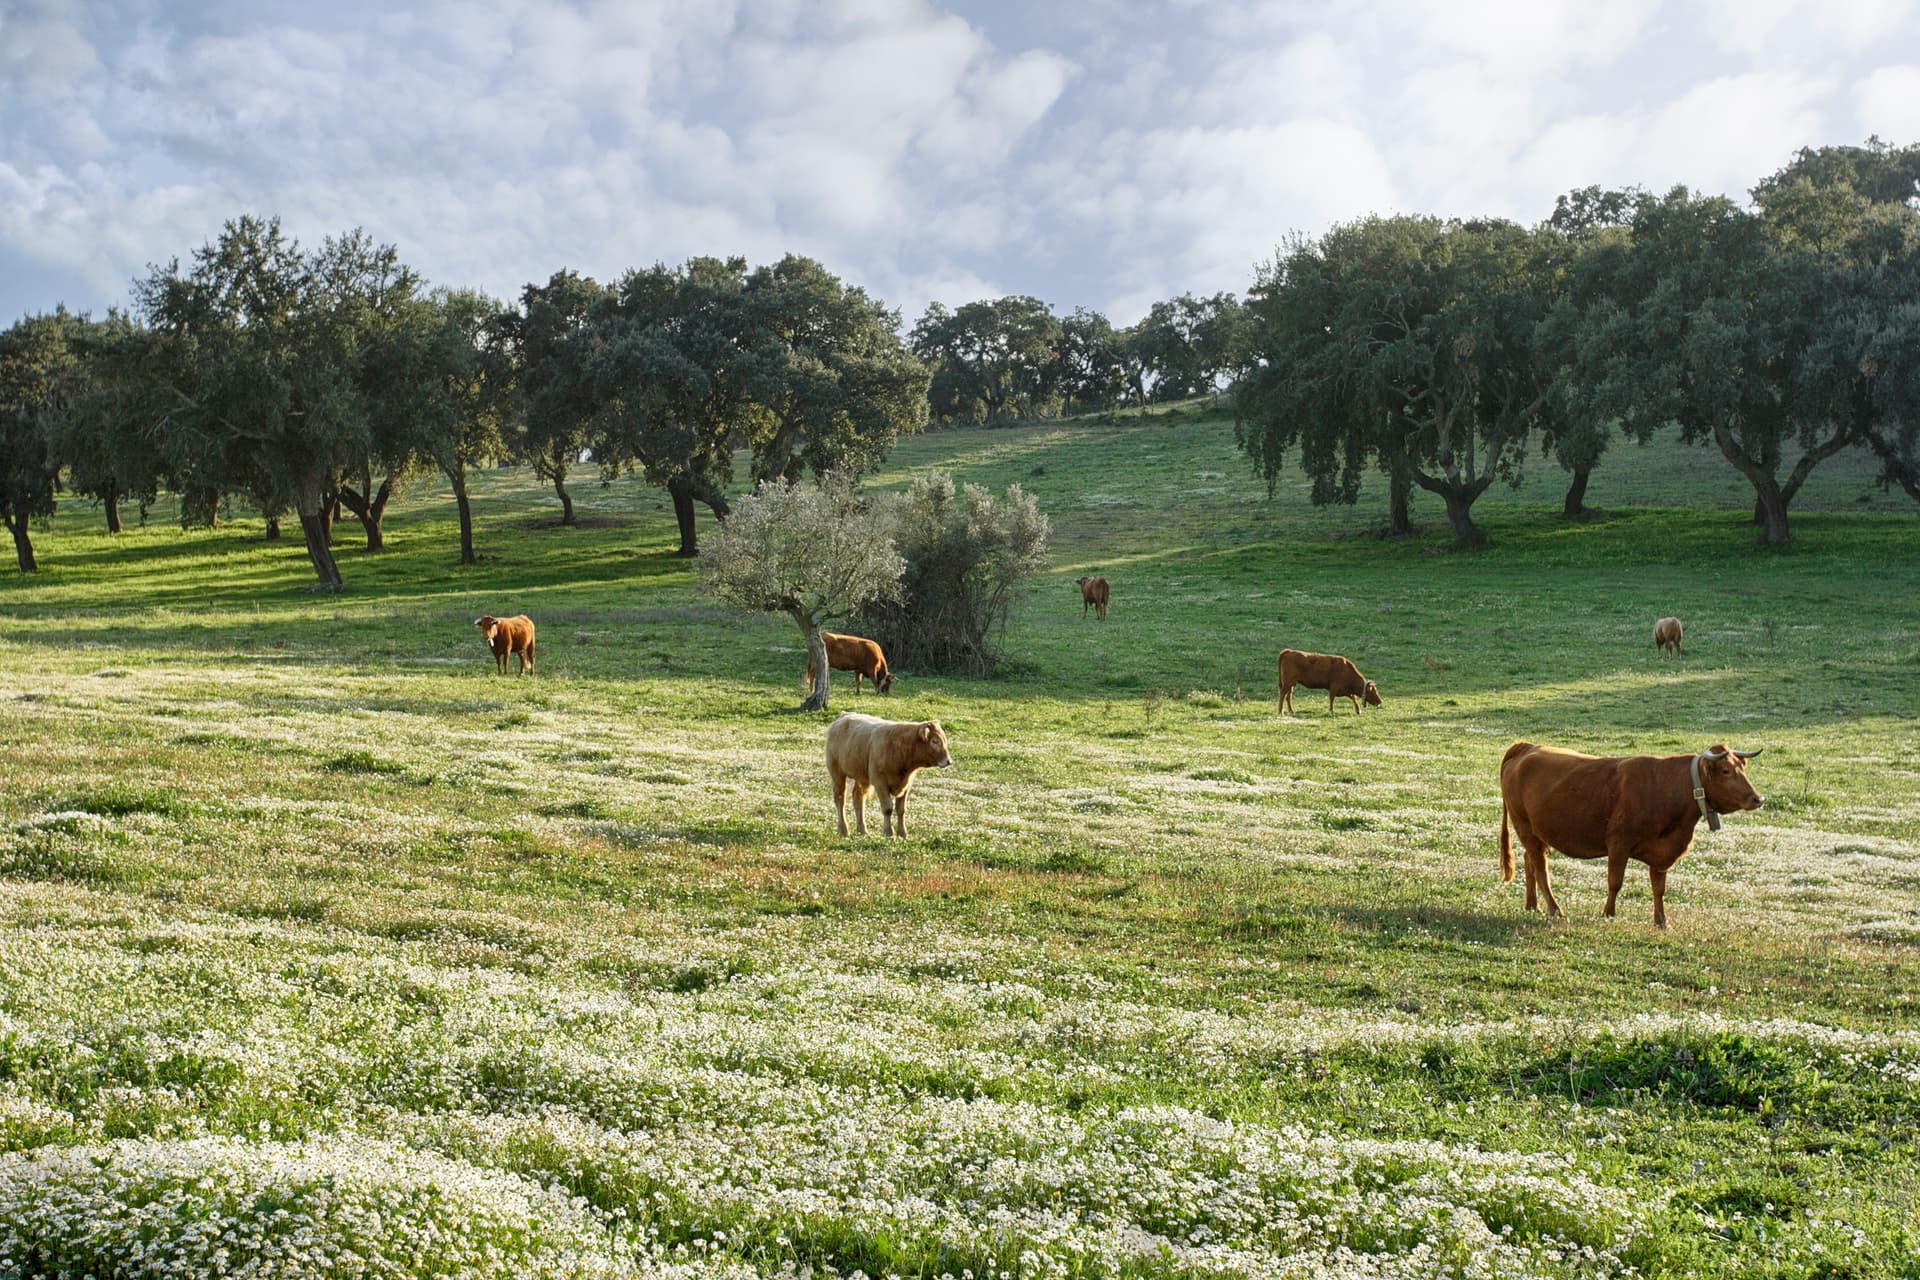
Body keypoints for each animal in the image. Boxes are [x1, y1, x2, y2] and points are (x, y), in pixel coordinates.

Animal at [825, 712, 953, 838]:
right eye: (935, 741)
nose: (949, 761)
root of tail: (844, 715)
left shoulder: (907, 785)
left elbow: (901, 809)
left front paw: (903, 833)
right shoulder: (880, 782)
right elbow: (887, 808)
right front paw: (889, 833)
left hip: (860, 776)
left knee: (858, 798)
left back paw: (863, 831)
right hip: (836, 773)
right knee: (840, 799)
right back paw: (843, 830)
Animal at [1499, 741, 1764, 928]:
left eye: (1742, 768)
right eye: (1726, 770)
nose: (1758, 798)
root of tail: (1526, 747)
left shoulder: (1661, 853)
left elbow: (1659, 888)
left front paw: (1661, 921)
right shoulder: (1619, 844)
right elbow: (1615, 882)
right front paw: (1608, 914)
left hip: (1537, 833)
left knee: (1529, 860)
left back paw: (1532, 905)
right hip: (1524, 826)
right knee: (1541, 868)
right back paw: (1555, 909)